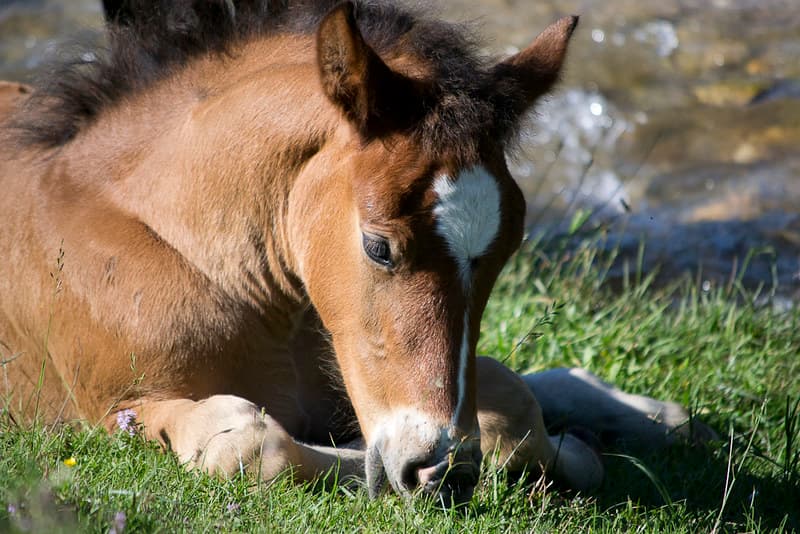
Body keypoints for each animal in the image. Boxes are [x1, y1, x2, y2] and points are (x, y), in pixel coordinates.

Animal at [0, 0, 712, 506]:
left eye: (507, 251)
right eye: (378, 246)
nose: (440, 470)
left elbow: (510, 397)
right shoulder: (113, 407)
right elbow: (253, 446)